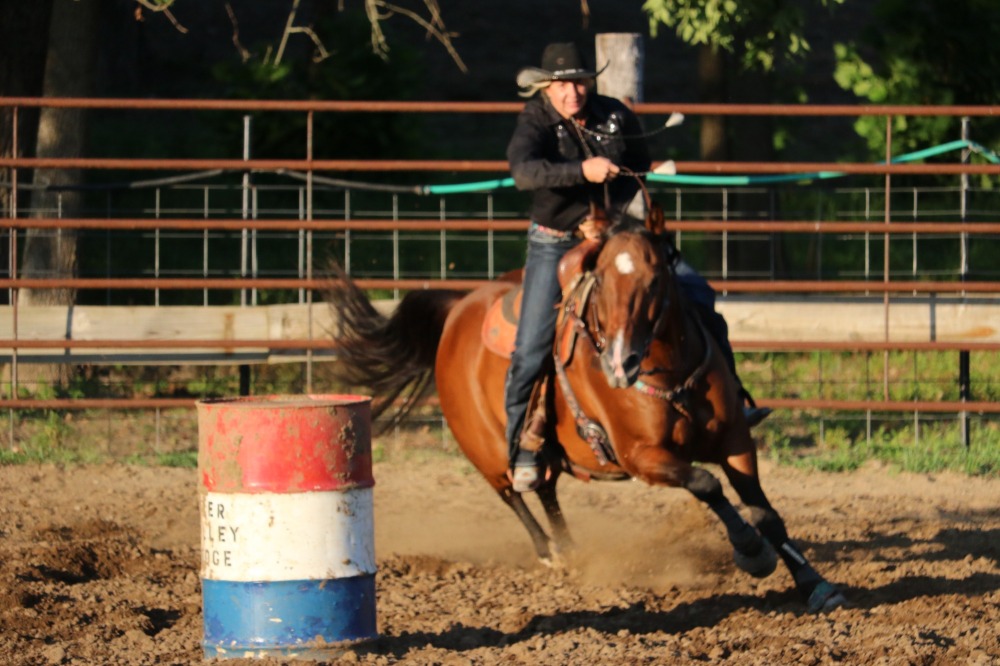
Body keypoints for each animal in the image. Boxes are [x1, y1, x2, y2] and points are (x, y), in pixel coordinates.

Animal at [328, 215, 844, 608]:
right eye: (602, 286)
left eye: (657, 279)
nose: (620, 364)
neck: (670, 374)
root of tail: (458, 305)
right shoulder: (642, 457)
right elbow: (706, 483)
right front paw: (750, 551)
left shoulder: (736, 440)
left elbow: (766, 512)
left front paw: (814, 583)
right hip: (485, 449)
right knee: (513, 493)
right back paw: (551, 554)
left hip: (545, 448)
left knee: (545, 488)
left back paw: (572, 549)